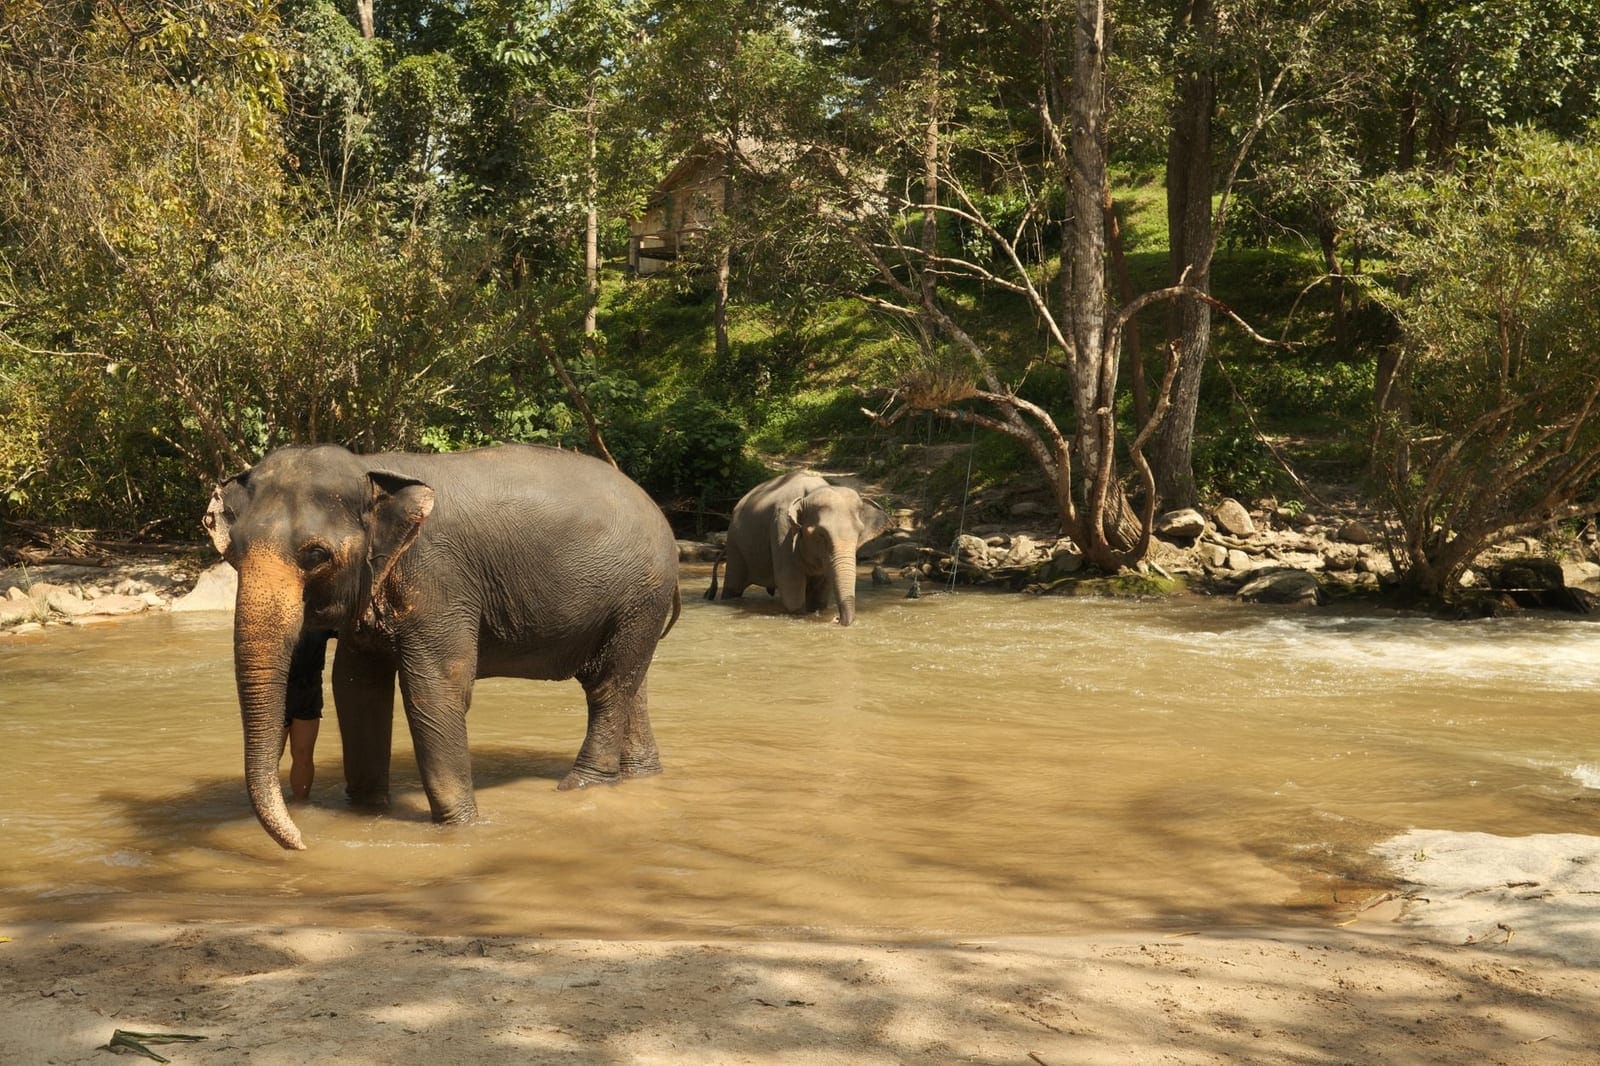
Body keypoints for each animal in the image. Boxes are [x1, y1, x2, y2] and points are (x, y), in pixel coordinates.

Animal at [203, 443, 681, 851]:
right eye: (234, 554)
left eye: (316, 556)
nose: (303, 842)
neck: (371, 469)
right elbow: (357, 689)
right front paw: (366, 813)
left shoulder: (439, 578)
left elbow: (435, 690)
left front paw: (463, 828)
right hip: (635, 606)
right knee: (631, 685)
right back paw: (641, 775)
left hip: (640, 595)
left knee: (608, 687)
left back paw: (579, 786)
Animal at [705, 471, 890, 626]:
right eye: (821, 534)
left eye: (859, 534)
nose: (836, 619)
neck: (812, 492)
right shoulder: (782, 530)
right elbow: (790, 586)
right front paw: (801, 615)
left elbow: (821, 591)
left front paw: (817, 611)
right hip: (735, 544)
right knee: (733, 587)